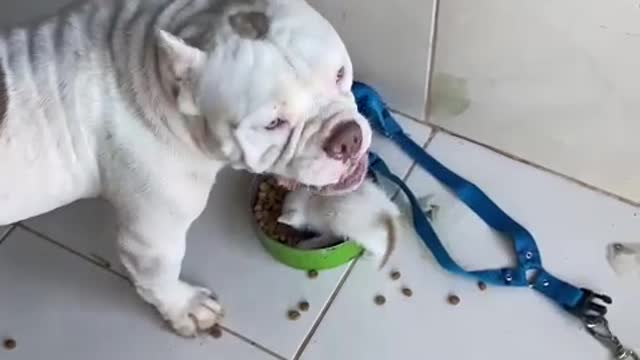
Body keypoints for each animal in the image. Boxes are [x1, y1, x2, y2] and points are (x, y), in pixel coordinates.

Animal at [0, 0, 370, 336]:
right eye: (273, 124)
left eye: (340, 74)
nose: (347, 138)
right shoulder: (152, 239)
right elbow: (159, 278)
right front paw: (187, 308)